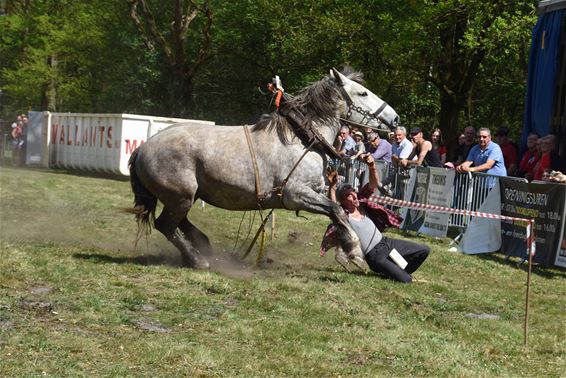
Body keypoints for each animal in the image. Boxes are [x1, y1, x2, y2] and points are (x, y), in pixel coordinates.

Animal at [131, 68, 402, 268]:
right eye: (363, 93)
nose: (396, 118)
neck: (301, 138)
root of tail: (142, 148)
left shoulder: (317, 189)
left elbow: (339, 209)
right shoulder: (295, 195)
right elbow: (337, 210)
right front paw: (353, 249)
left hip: (186, 197)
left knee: (179, 223)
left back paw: (204, 246)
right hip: (181, 197)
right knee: (166, 225)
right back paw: (197, 259)